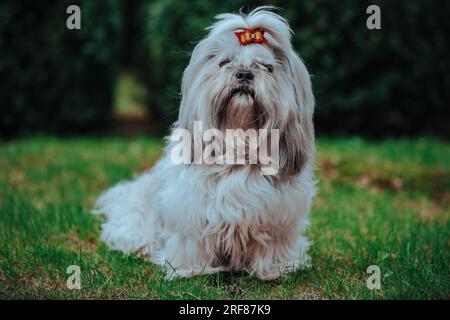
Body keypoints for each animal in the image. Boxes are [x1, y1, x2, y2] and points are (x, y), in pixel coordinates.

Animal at [92, 5, 314, 280]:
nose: (244, 73)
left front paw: (276, 269)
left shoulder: (279, 218)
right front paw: (192, 269)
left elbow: (273, 245)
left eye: (267, 67)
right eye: (225, 62)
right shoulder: (191, 213)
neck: (239, 144)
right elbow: (193, 242)